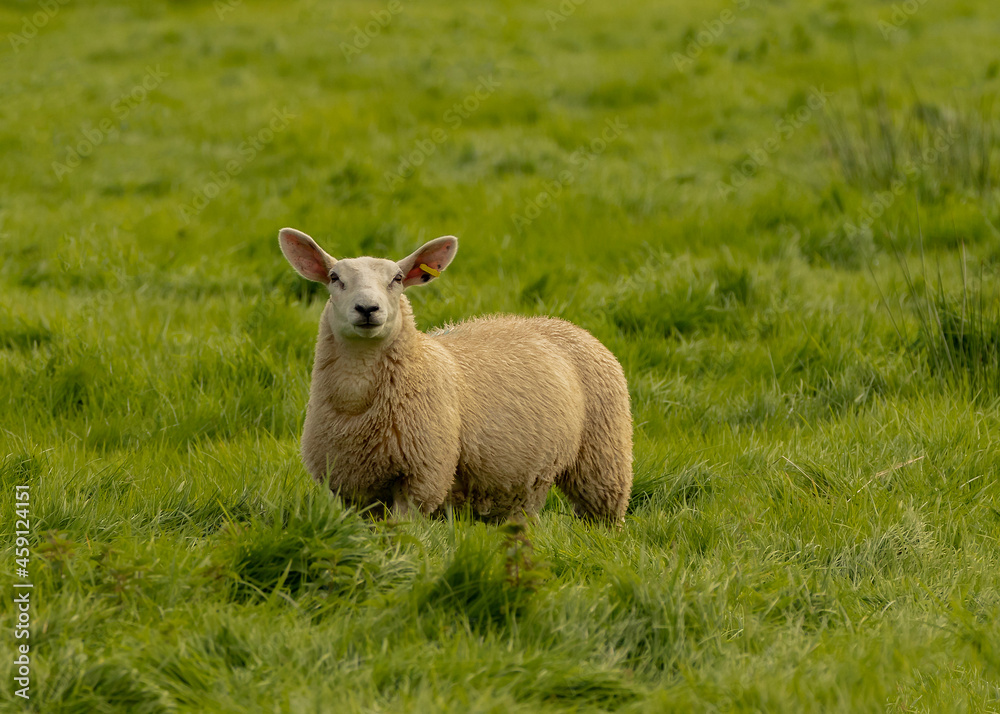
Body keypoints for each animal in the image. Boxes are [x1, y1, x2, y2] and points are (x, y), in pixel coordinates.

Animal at [278, 227, 633, 521]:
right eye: (334, 278)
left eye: (397, 279)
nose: (367, 309)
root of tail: (561, 322)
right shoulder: (350, 487)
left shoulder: (422, 478)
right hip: (522, 481)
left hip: (604, 459)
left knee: (601, 516)